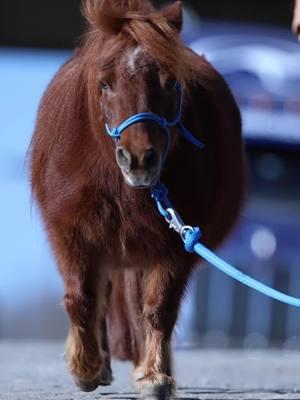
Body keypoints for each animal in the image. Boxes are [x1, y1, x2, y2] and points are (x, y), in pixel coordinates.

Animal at [28, 0, 244, 396]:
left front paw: (154, 376)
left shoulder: (176, 244)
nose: (139, 159)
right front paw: (86, 368)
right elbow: (81, 298)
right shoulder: (71, 233)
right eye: (104, 83)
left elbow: (158, 308)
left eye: (172, 83)